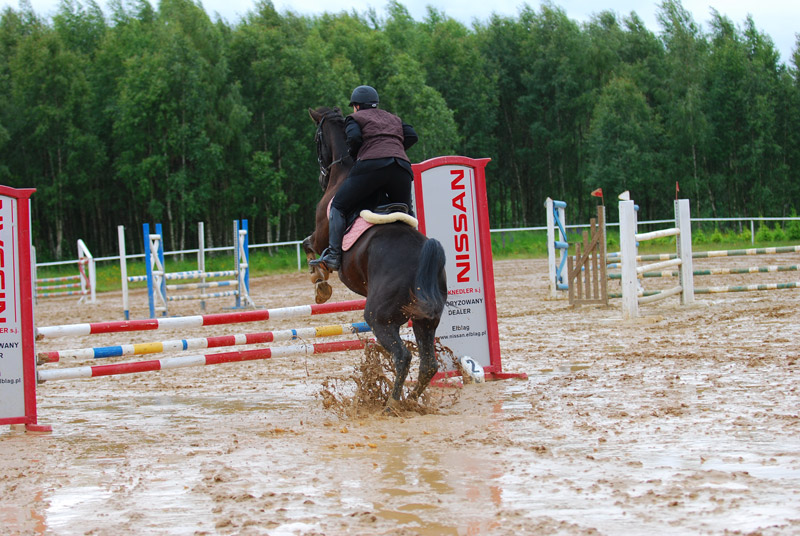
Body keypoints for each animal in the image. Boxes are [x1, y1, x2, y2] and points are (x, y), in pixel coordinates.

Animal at [302, 107, 446, 408]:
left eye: (316, 139)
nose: (321, 176)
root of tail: (424, 255)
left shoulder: (321, 234)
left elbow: (309, 245)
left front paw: (320, 281)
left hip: (380, 318)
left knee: (403, 356)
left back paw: (392, 403)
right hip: (425, 319)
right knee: (428, 364)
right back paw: (409, 400)